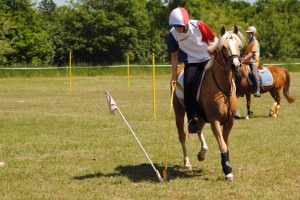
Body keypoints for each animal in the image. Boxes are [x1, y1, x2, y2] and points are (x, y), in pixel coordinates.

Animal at [173, 25, 244, 180]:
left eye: (239, 46)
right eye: (223, 47)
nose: (236, 65)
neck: (222, 89)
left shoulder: (229, 121)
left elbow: (225, 144)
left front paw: (227, 166)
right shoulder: (214, 121)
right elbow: (222, 145)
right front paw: (228, 171)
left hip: (200, 117)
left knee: (198, 130)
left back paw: (202, 153)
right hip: (179, 113)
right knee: (182, 136)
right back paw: (187, 162)